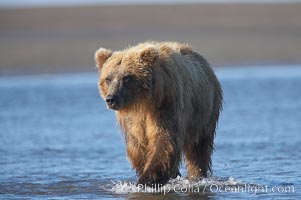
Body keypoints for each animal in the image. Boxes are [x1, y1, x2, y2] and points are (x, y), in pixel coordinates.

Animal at [95, 41, 221, 187]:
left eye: (126, 77)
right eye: (108, 78)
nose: (111, 99)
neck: (142, 102)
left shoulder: (165, 104)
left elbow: (164, 140)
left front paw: (146, 180)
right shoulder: (132, 119)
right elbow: (137, 146)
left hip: (203, 112)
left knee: (198, 149)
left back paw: (197, 175)